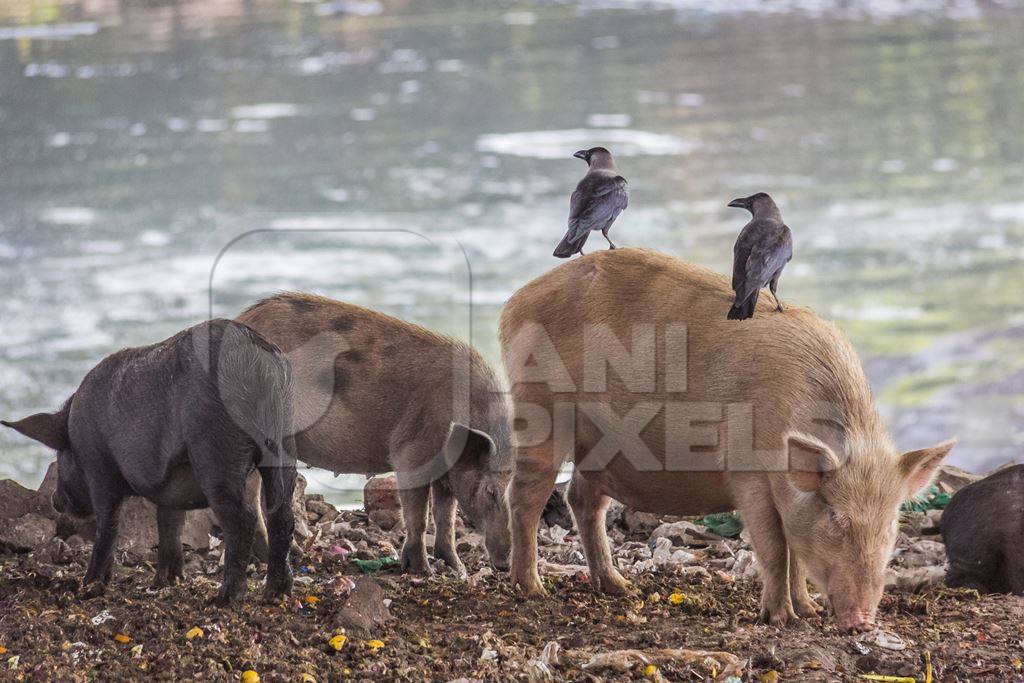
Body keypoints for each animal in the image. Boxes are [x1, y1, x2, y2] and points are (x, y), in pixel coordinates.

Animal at [2, 317, 296, 606]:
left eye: (60, 455)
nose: (54, 499)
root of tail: (262, 364)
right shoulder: (171, 490)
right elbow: (169, 526)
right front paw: (165, 582)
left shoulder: (99, 469)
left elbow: (108, 527)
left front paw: (88, 587)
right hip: (285, 440)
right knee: (281, 514)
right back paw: (275, 593)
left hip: (217, 453)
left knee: (243, 520)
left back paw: (224, 599)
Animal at [236, 294, 516, 577]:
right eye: (491, 492)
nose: (505, 565)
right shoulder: (410, 452)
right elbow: (419, 516)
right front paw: (423, 571)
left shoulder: (447, 475)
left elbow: (445, 516)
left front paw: (457, 569)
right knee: (253, 492)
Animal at [499, 249, 954, 630]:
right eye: (836, 517)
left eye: (891, 523)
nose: (862, 621)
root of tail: (513, 304)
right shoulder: (747, 472)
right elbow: (774, 548)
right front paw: (781, 619)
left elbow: (795, 553)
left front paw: (808, 612)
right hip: (539, 411)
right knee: (523, 497)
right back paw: (532, 589)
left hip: (599, 446)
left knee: (582, 499)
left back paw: (618, 587)